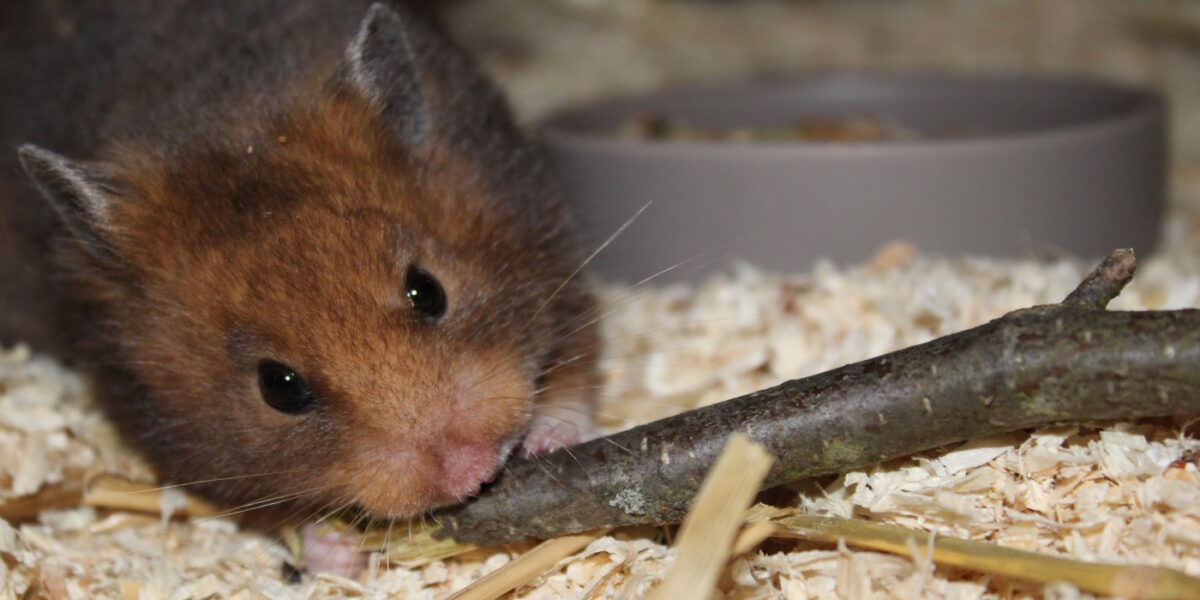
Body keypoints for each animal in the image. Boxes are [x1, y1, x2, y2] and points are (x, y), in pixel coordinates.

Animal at [0, 1, 599, 524]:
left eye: (428, 290)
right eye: (279, 387)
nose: (471, 473)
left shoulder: (547, 234)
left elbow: (575, 364)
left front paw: (549, 438)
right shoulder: (174, 439)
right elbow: (276, 515)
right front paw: (340, 554)